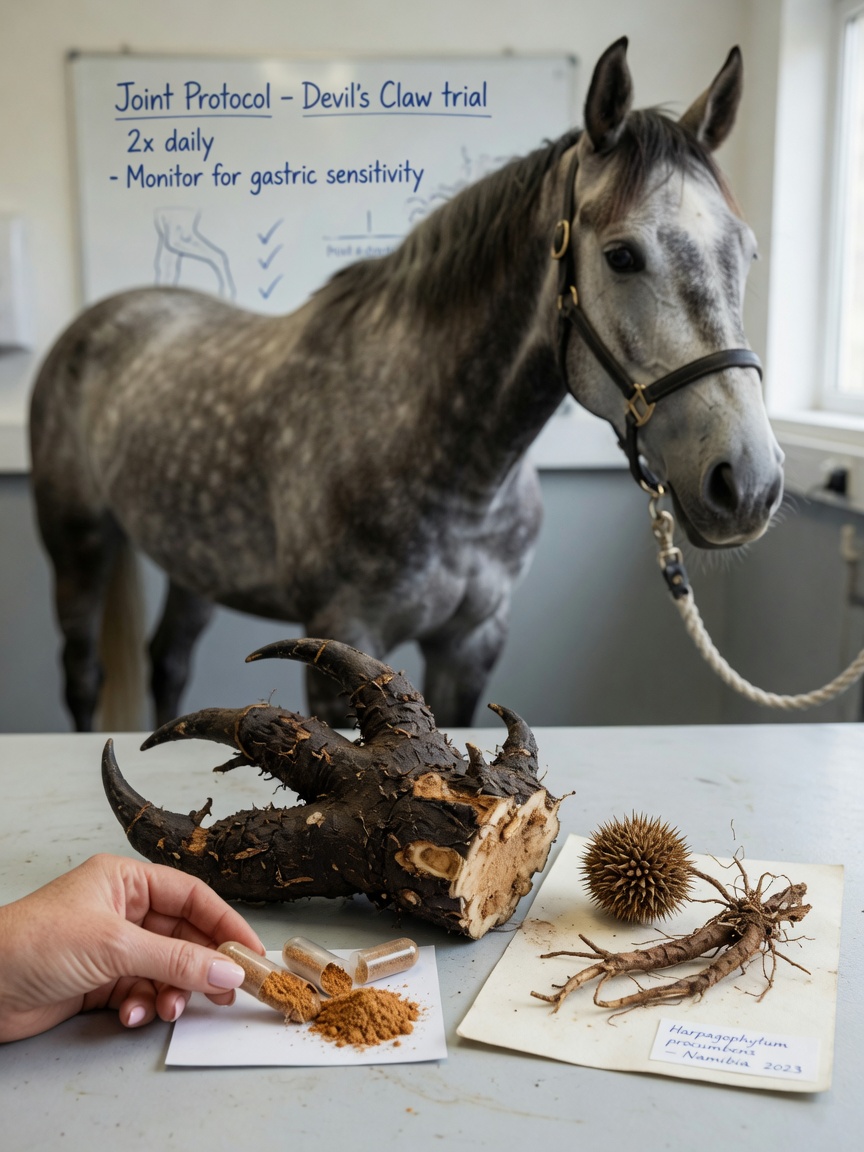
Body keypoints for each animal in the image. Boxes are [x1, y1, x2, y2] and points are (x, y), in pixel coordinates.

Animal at [29, 38, 784, 733]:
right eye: (622, 256)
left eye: (747, 252)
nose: (747, 483)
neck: (445, 455)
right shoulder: (343, 639)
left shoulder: (471, 643)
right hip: (78, 545)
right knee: (82, 673)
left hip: (194, 559)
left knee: (169, 661)